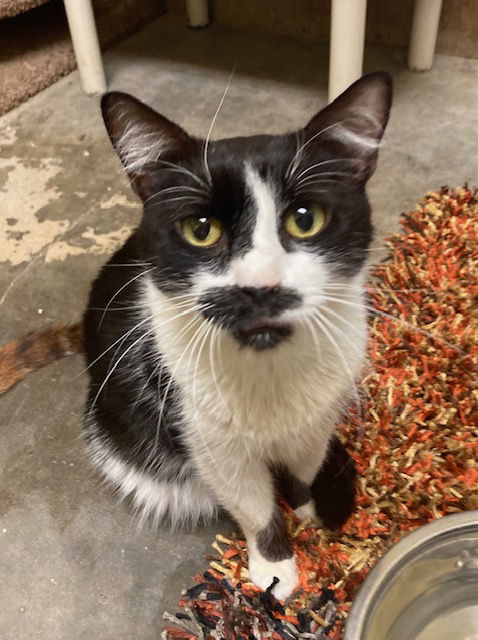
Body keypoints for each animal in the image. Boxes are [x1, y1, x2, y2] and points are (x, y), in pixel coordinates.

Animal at [0, 71, 392, 600]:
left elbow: (303, 470)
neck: (268, 370)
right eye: (200, 229)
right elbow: (253, 505)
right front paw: (275, 569)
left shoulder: (317, 419)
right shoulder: (203, 432)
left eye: (305, 219)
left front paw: (310, 510)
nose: (261, 285)